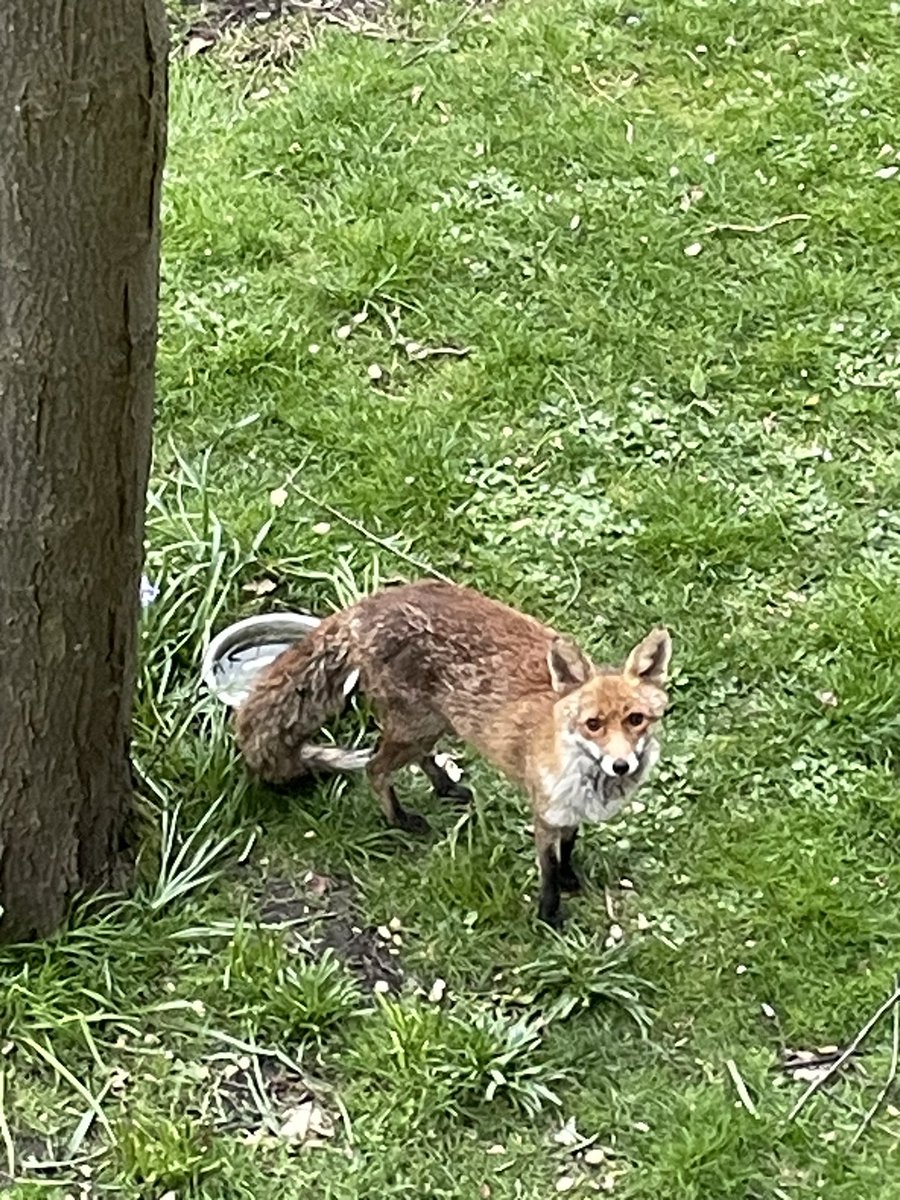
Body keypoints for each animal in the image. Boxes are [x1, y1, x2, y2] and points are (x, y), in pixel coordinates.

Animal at [232, 580, 672, 926]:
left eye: (635, 720)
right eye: (593, 724)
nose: (621, 765)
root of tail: (365, 605)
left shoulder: (569, 812)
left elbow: (569, 847)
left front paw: (570, 879)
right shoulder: (545, 814)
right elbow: (547, 870)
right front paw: (550, 916)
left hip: (435, 723)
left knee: (414, 759)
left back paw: (444, 786)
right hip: (417, 727)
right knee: (375, 768)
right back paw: (401, 820)